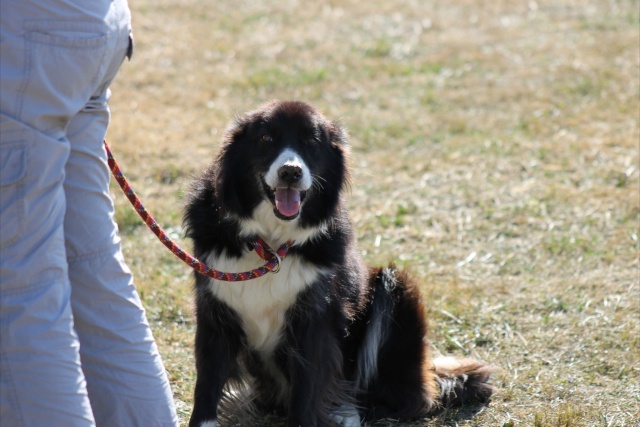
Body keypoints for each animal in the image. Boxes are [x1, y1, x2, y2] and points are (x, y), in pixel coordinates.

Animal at [185, 101, 496, 427]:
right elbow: (207, 384)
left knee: (398, 398)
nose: (290, 172)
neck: (271, 244)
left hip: (396, 289)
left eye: (311, 141)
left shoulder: (315, 318)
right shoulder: (215, 311)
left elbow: (307, 387)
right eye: (266, 138)